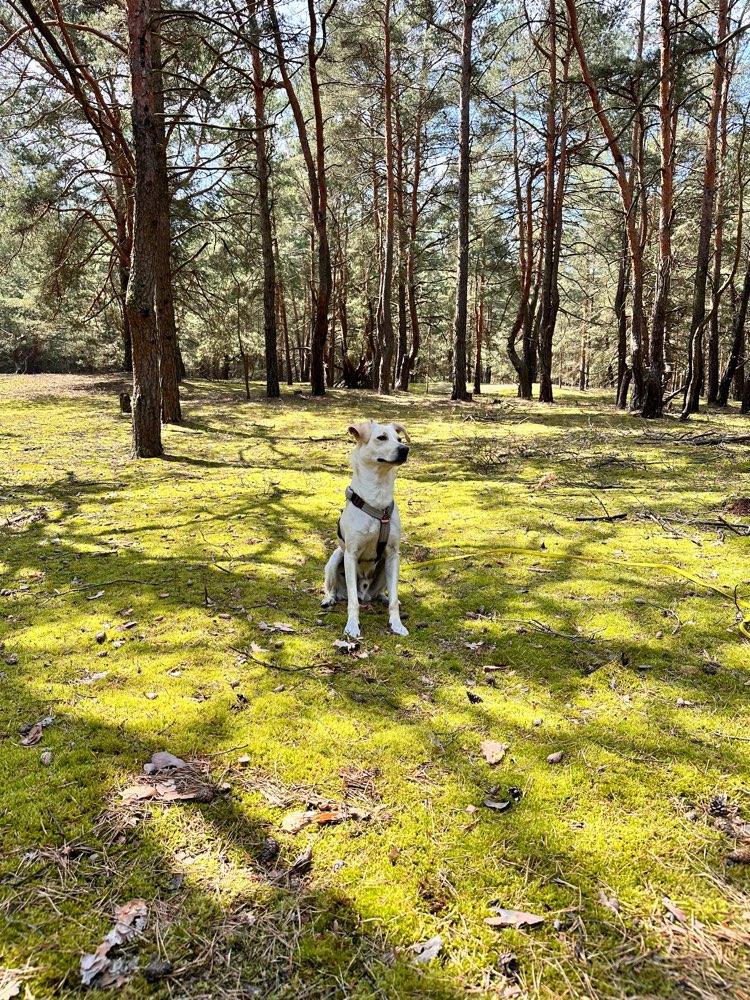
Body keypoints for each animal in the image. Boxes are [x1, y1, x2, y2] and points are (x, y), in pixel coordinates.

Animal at [324, 418, 414, 636]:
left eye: (399, 439)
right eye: (381, 437)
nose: (405, 449)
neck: (377, 498)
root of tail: (364, 593)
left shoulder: (393, 554)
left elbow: (394, 599)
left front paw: (397, 623)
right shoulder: (350, 554)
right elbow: (353, 602)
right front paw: (352, 625)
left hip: (385, 568)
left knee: (383, 592)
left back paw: (384, 597)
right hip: (335, 559)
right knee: (336, 590)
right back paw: (329, 598)